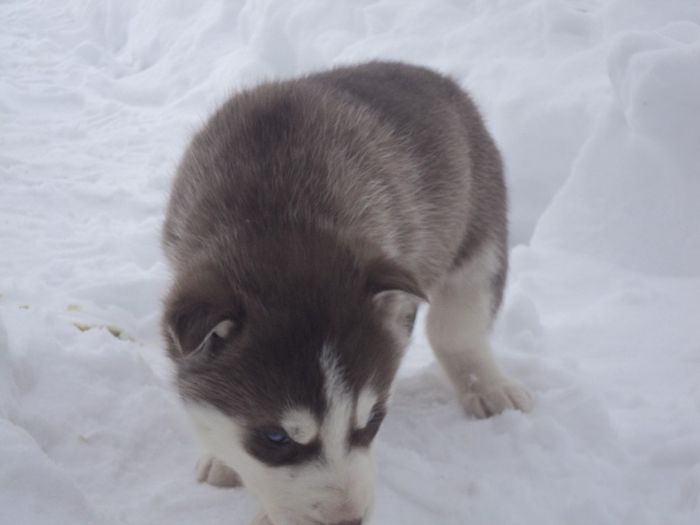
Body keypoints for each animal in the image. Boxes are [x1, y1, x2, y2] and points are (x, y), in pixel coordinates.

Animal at [160, 60, 532, 524]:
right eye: (276, 438)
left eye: (372, 421)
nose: (348, 521)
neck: (276, 220)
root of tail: (430, 75)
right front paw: (225, 461)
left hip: (477, 235)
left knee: (458, 327)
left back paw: (487, 386)